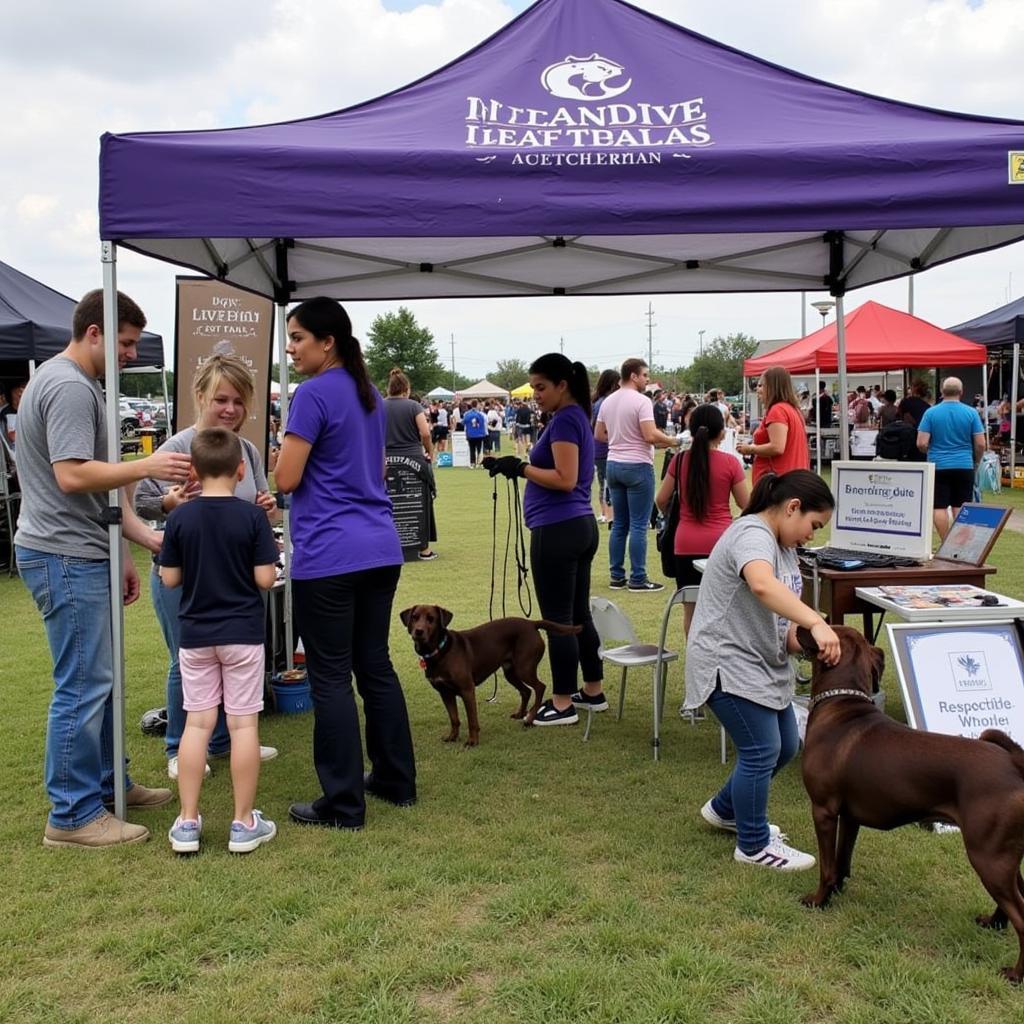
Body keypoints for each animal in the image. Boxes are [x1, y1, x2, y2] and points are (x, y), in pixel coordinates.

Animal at [397, 602, 581, 749]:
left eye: (431, 619)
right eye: (414, 617)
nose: (418, 631)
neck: (440, 651)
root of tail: (531, 623)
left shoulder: (467, 690)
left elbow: (472, 721)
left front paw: (472, 741)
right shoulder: (445, 693)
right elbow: (454, 719)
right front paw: (452, 737)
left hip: (524, 668)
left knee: (539, 687)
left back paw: (529, 718)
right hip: (510, 671)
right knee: (526, 691)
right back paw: (520, 714)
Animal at [798, 622, 1024, 983]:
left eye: (826, 629)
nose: (798, 625)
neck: (842, 703)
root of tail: (1013, 763)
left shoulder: (824, 811)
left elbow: (827, 866)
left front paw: (818, 899)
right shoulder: (849, 817)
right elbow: (842, 861)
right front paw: (836, 893)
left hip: (988, 856)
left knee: (1022, 917)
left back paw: (1016, 974)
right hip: (1004, 855)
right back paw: (993, 923)